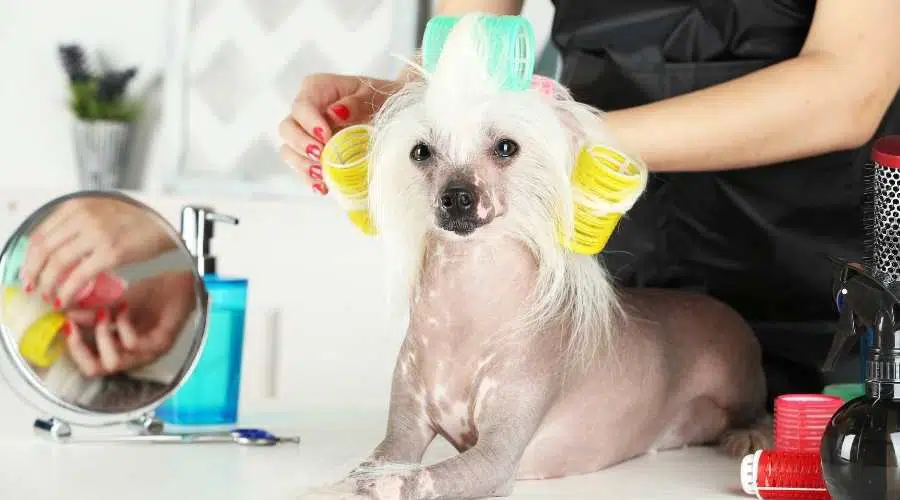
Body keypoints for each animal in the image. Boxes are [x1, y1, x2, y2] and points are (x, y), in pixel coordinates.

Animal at [298, 11, 768, 500]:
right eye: (421, 152)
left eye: (506, 147)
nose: (458, 197)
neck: (462, 315)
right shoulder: (404, 430)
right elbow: (376, 460)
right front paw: (348, 482)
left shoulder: (496, 457)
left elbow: (417, 477)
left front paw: (376, 485)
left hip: (739, 382)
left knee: (758, 411)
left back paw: (749, 436)